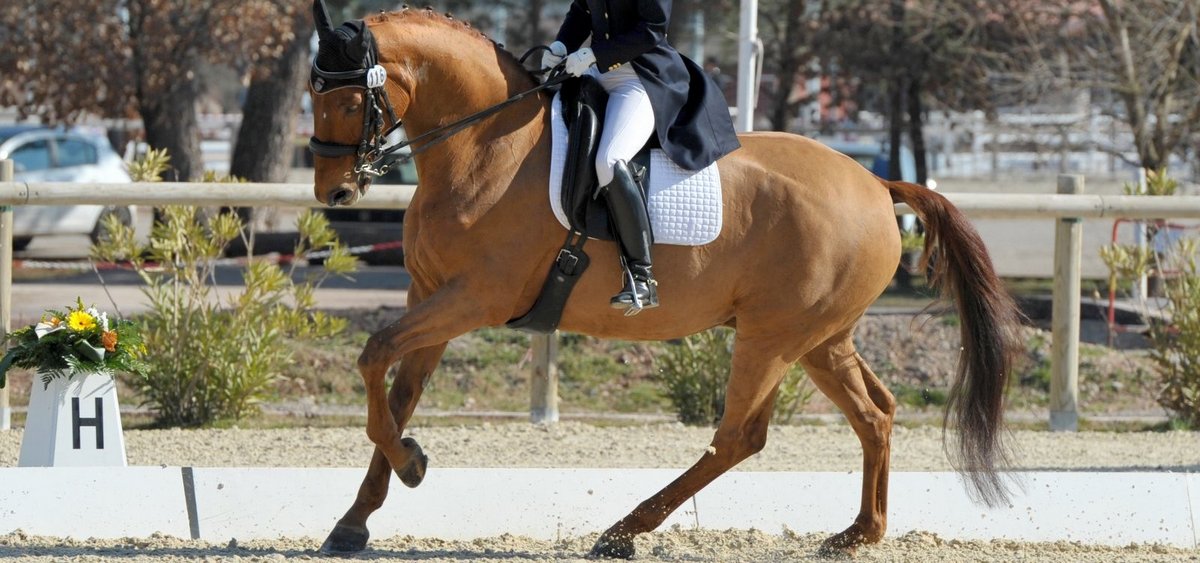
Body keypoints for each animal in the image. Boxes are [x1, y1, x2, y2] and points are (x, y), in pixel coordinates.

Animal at [307, 4, 1022, 556]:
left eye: (350, 98)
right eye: (313, 95)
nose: (334, 192)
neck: (485, 145)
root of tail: (876, 182)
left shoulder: (474, 299)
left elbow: (373, 357)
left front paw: (411, 465)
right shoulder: (428, 296)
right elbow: (396, 395)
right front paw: (357, 517)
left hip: (773, 336)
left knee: (739, 436)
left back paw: (624, 530)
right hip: (821, 338)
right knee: (875, 413)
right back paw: (858, 534)